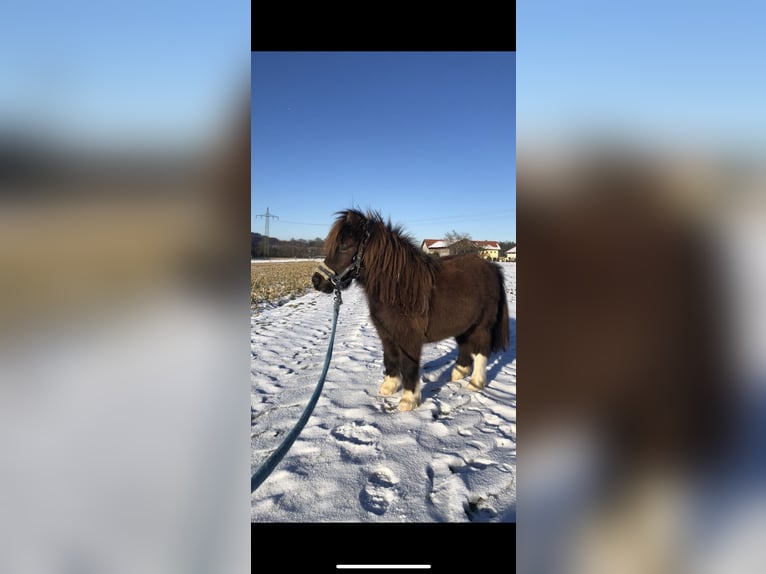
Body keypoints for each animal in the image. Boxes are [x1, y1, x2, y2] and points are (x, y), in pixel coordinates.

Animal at [312, 209, 510, 412]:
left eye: (344, 246)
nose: (317, 281)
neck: (398, 289)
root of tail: (492, 267)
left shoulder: (409, 339)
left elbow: (408, 366)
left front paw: (408, 400)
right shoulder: (387, 335)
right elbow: (390, 359)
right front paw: (388, 388)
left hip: (482, 326)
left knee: (481, 350)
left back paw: (475, 383)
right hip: (465, 325)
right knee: (465, 346)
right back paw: (458, 373)